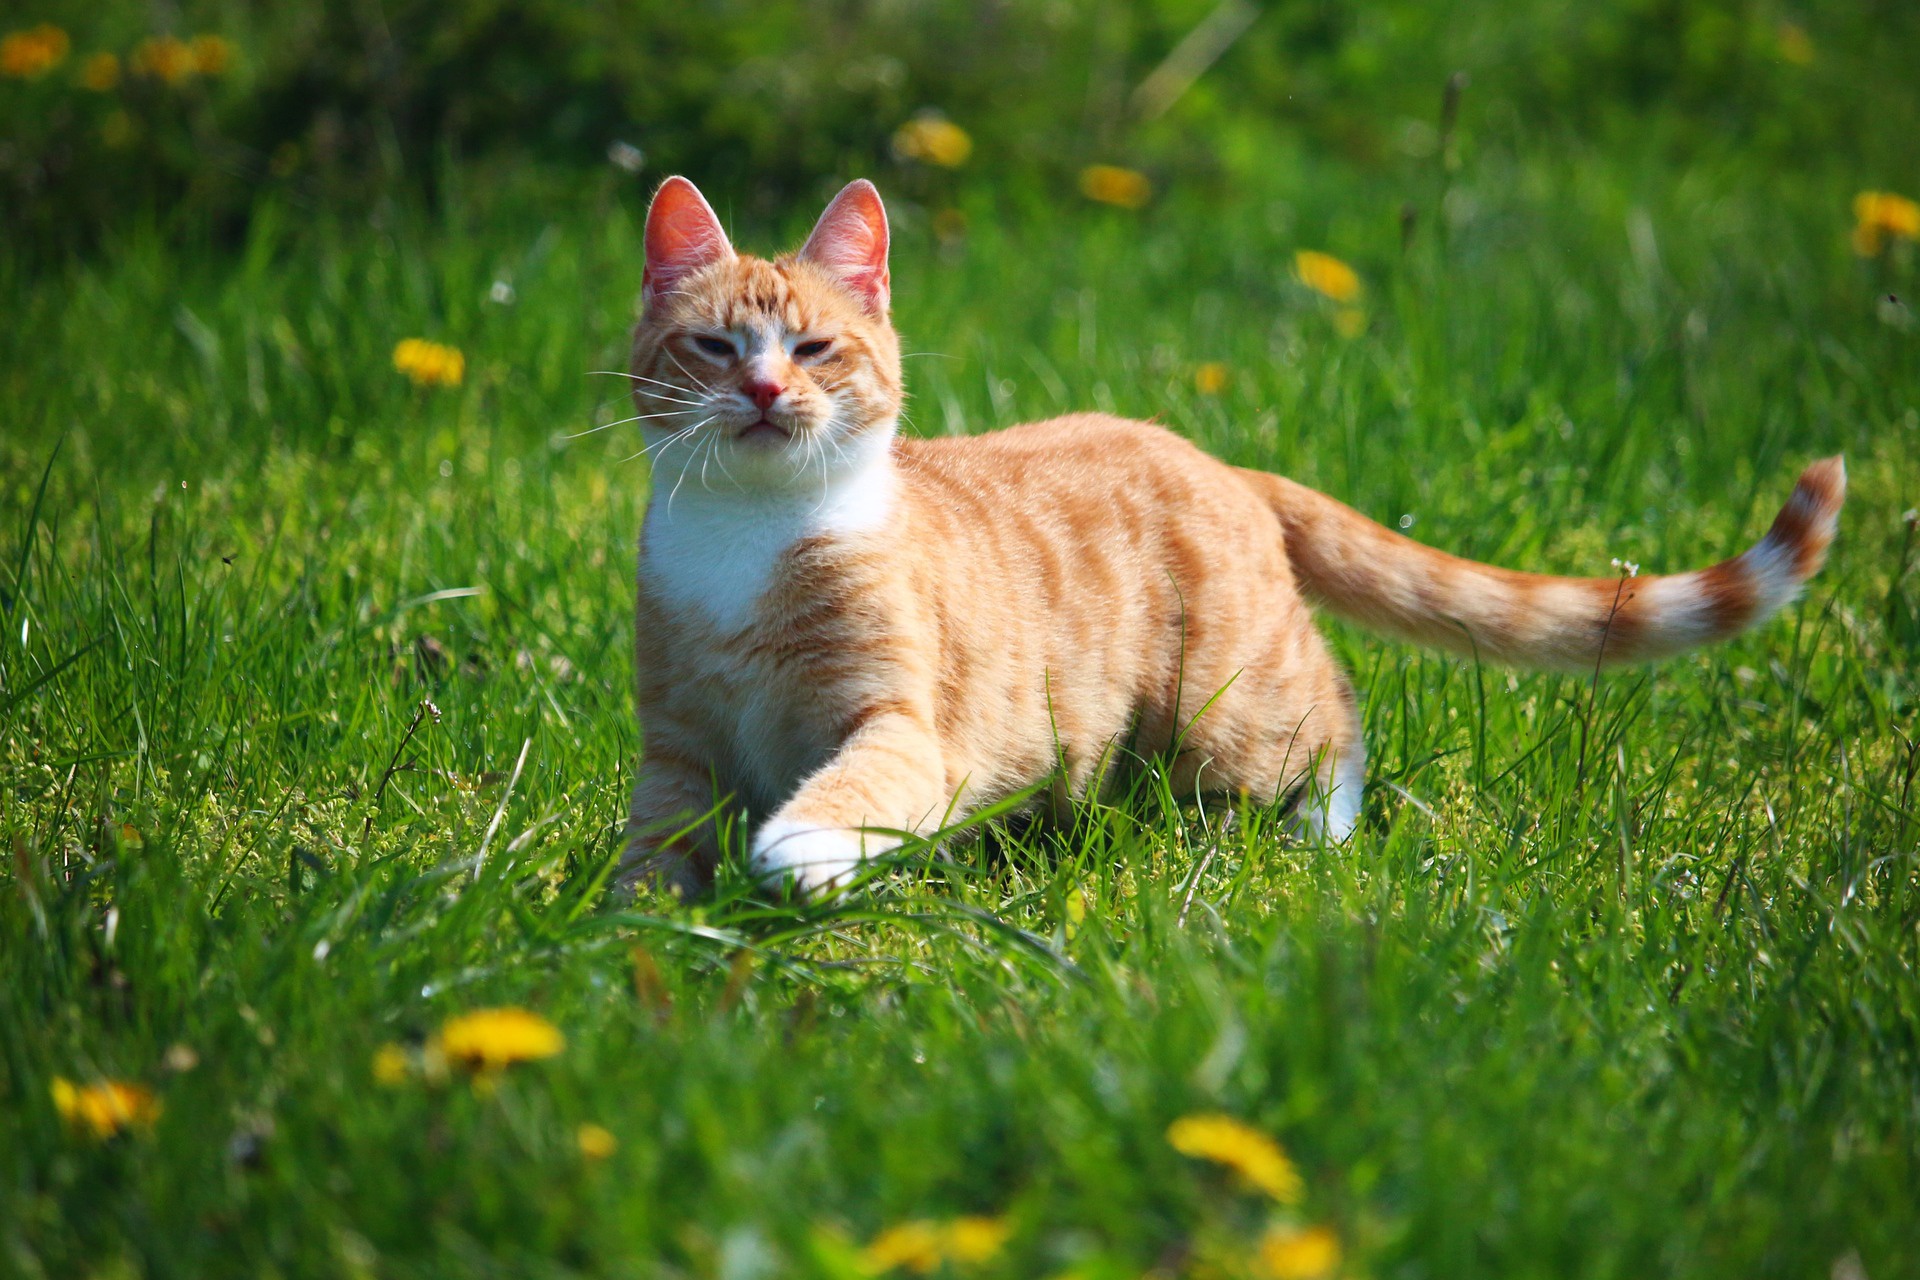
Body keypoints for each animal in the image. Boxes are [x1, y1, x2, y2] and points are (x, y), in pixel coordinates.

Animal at [614, 175, 1843, 898]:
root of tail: (1209, 457)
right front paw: (636, 939)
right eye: (716, 347)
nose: (765, 391)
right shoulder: (677, 748)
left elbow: (857, 785)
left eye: (814, 348)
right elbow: (653, 852)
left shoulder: (904, 724)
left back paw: (1321, 839)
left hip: (1232, 702)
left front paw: (801, 850)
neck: (748, 540)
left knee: (1331, 719)